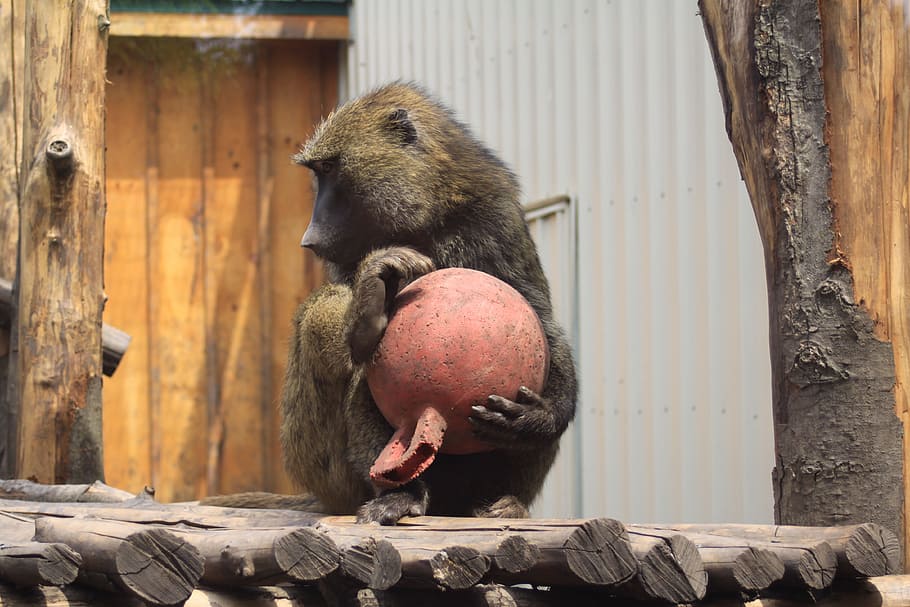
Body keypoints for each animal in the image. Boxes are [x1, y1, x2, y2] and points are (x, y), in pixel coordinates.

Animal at [205, 82, 577, 525]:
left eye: (329, 170)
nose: (309, 237)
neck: (427, 212)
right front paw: (369, 302)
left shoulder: (495, 220)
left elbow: (539, 315)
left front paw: (543, 417)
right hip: (332, 476)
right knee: (331, 328)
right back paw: (401, 489)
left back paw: (503, 502)